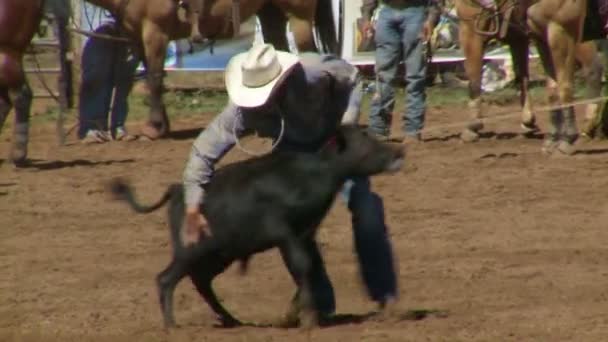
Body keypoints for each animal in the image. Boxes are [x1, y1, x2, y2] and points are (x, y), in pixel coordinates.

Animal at [84, 0, 342, 140]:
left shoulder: (155, 32)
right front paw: (162, 125)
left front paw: (154, 128)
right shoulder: (138, 37)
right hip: (271, 13)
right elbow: (152, 79)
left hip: (299, 15)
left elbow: (155, 79)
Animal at [452, 0, 604, 144]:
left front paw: (472, 126)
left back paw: (587, 124)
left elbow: (474, 79)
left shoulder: (470, 31)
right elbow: (522, 77)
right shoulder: (518, 37)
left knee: (592, 69)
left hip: (566, 33)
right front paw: (528, 120)